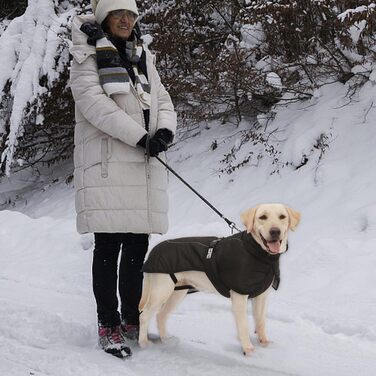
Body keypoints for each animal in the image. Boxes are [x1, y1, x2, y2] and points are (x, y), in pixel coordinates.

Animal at [138, 204, 300, 354]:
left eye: (282, 217)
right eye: (262, 217)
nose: (275, 231)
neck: (259, 254)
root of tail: (153, 252)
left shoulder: (262, 296)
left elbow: (260, 321)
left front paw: (264, 342)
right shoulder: (239, 296)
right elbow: (243, 326)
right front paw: (248, 349)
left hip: (177, 293)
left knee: (161, 315)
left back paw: (166, 340)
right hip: (161, 291)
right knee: (145, 315)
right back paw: (144, 344)